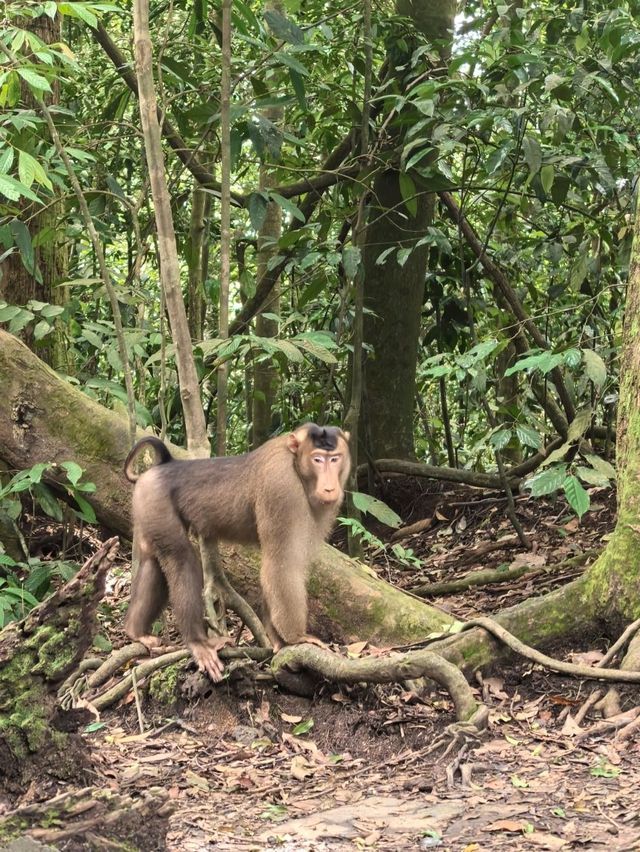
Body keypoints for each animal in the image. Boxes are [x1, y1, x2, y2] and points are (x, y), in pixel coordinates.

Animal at [122, 422, 352, 684]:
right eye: (317, 459)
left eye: (335, 458)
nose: (330, 487)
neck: (295, 464)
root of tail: (163, 466)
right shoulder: (282, 488)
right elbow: (281, 563)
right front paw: (296, 637)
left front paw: (277, 639)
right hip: (157, 502)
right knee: (181, 557)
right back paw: (197, 642)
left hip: (146, 504)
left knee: (152, 557)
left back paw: (135, 631)